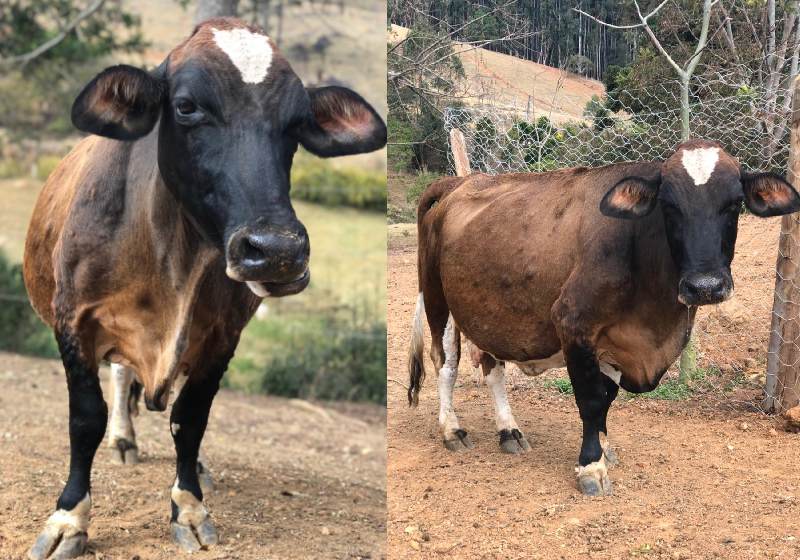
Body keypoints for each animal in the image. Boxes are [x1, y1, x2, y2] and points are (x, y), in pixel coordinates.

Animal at [23, 18, 385, 559]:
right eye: (187, 106)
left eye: (298, 121)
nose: (277, 251)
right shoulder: (74, 322)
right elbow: (85, 418)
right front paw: (69, 518)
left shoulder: (221, 337)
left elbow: (190, 419)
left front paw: (189, 505)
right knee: (120, 377)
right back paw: (123, 440)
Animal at [407, 140, 799, 496]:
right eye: (668, 206)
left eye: (734, 204)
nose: (706, 286)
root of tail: (458, 183)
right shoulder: (573, 324)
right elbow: (591, 399)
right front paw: (590, 465)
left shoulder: (614, 338)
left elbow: (608, 396)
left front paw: (605, 449)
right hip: (438, 301)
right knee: (446, 364)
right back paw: (452, 430)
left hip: (486, 312)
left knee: (492, 369)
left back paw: (509, 431)